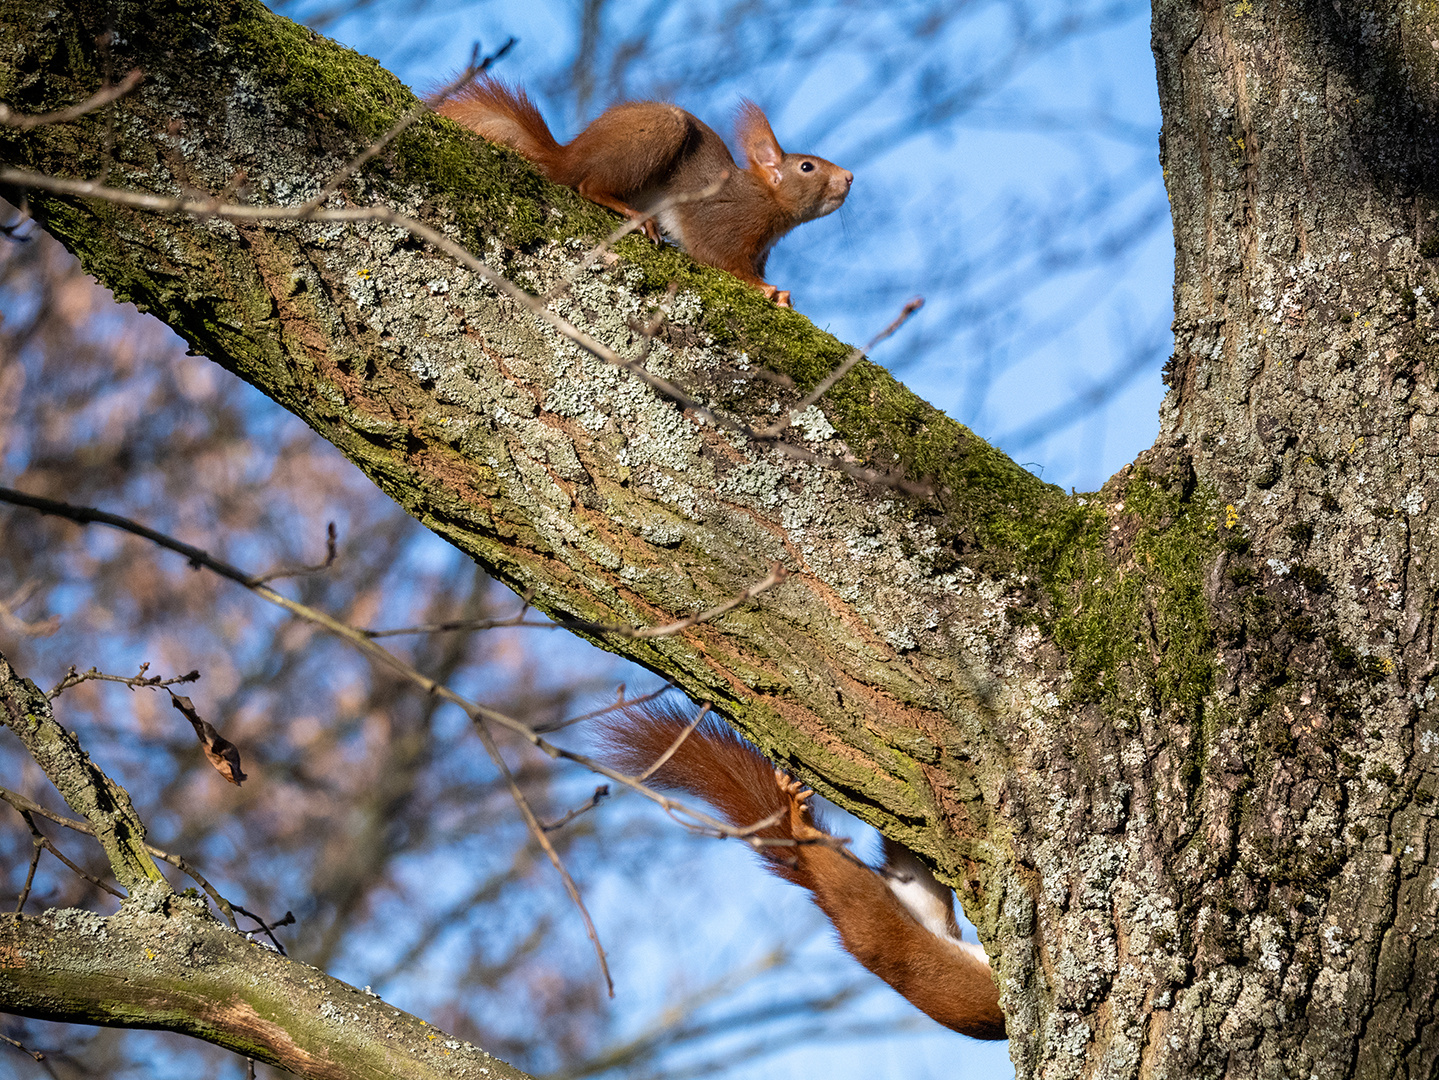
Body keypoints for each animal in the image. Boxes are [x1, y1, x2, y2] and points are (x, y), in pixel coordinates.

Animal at [431, 80, 846, 306]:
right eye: (807, 167)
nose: (850, 178)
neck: (767, 204)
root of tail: (568, 156)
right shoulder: (724, 221)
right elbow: (720, 259)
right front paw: (769, 291)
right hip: (657, 134)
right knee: (589, 186)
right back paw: (632, 214)